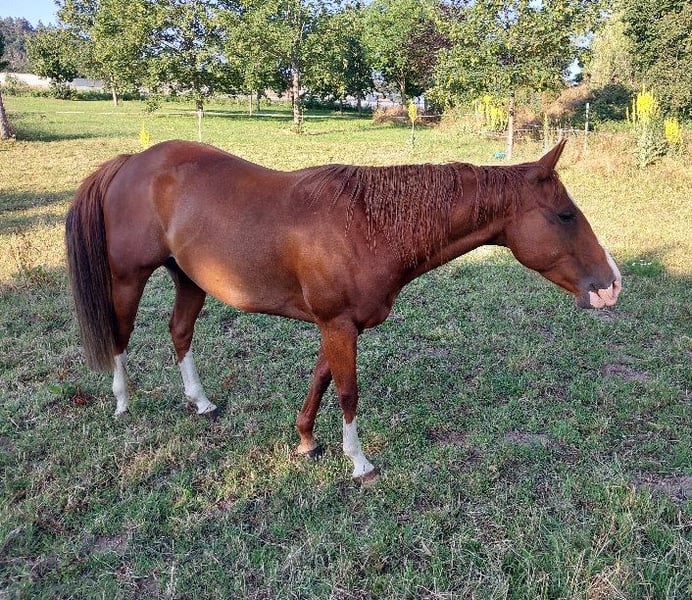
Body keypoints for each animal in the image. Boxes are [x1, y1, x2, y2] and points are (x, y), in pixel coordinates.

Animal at [65, 138, 621, 483]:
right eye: (565, 215)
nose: (612, 286)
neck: (369, 226)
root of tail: (133, 160)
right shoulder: (338, 325)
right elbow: (348, 391)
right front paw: (359, 463)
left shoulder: (337, 327)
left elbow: (321, 379)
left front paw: (306, 442)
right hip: (128, 277)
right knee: (120, 335)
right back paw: (122, 402)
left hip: (188, 279)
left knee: (180, 332)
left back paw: (200, 402)